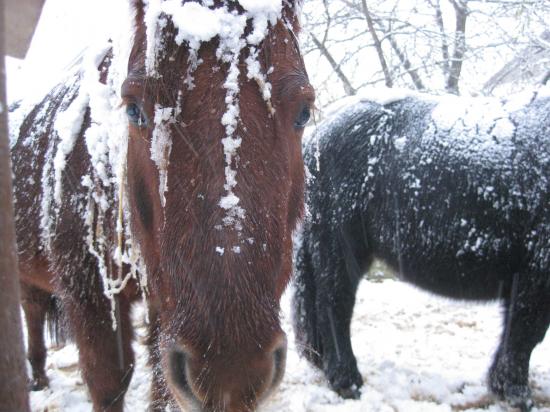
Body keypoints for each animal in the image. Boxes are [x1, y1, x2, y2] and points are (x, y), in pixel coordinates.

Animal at [9, 1, 314, 410]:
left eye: (304, 112)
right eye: (134, 109)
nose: (231, 374)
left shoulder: (163, 303)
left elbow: (159, 382)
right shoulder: (87, 295)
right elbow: (110, 382)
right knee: (32, 312)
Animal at [296, 91, 550, 410]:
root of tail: (318, 134)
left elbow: (515, 334)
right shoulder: (536, 275)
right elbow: (525, 335)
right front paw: (517, 393)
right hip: (339, 247)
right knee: (334, 305)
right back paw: (347, 380)